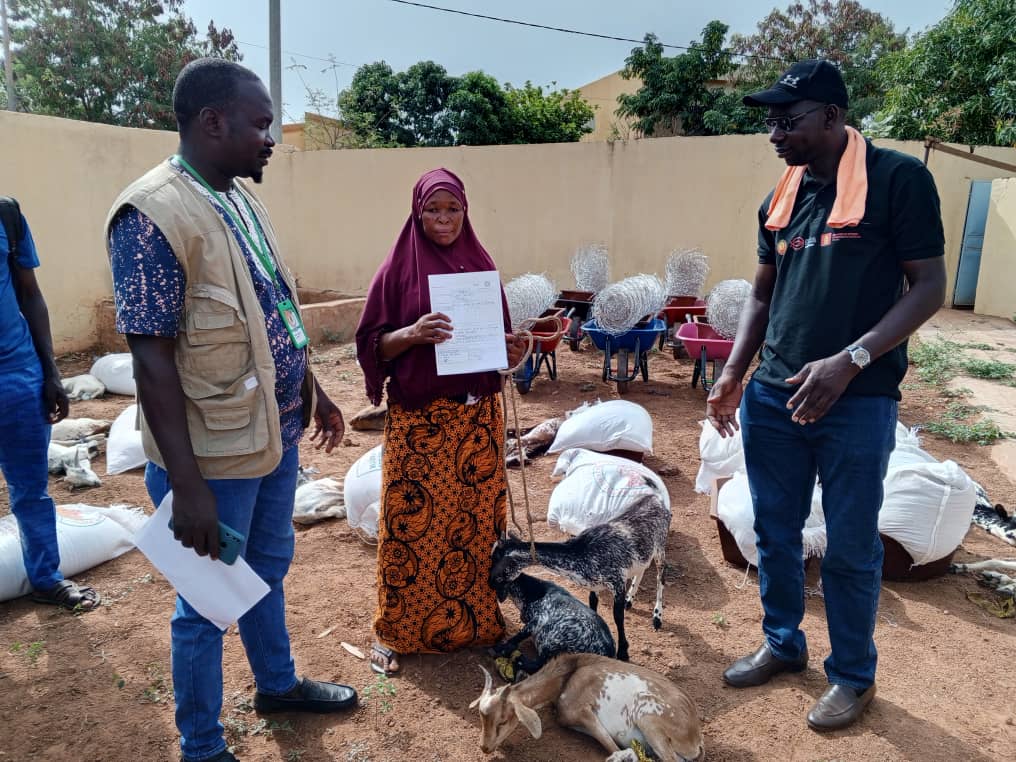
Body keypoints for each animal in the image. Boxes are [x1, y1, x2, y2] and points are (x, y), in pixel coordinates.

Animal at [469, 650, 703, 762]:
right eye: (482, 719)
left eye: (503, 721)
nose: (484, 747)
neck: (568, 677)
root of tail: (695, 737)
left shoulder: (583, 712)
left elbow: (618, 749)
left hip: (648, 719)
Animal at [489, 491, 670, 666]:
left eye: (496, 559)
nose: (490, 581)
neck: (583, 551)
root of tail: (655, 497)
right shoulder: (594, 585)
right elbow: (593, 606)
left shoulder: (617, 581)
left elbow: (618, 616)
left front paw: (623, 652)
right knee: (642, 570)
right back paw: (630, 600)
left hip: (660, 546)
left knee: (660, 577)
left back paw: (657, 616)